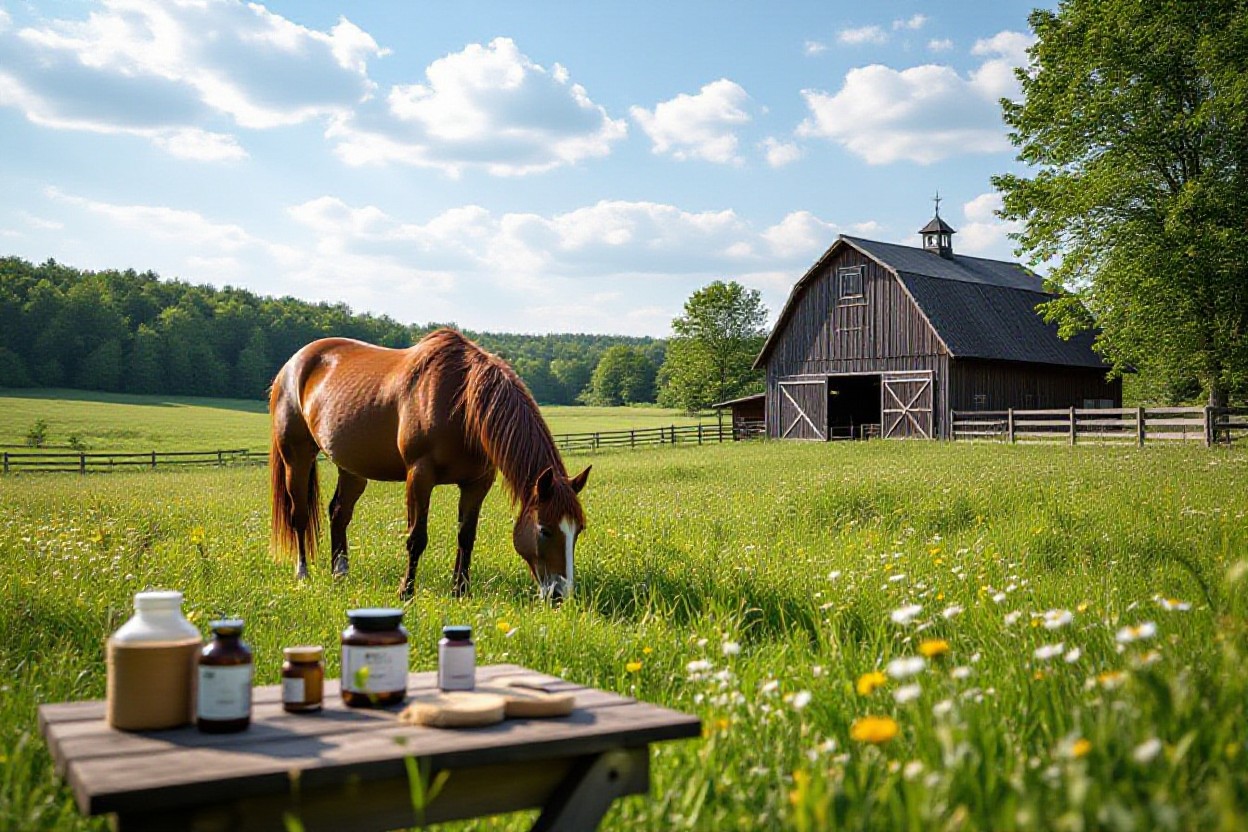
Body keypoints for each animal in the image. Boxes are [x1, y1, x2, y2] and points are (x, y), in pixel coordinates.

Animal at [268, 328, 590, 603]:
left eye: (579, 530)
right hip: (296, 457)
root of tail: (292, 365)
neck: (462, 404)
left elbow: (466, 536)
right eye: (544, 530)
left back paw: (340, 573)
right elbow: (417, 538)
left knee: (339, 513)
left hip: (352, 467)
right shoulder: (420, 476)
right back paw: (303, 573)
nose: (561, 595)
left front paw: (460, 590)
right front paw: (406, 592)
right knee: (299, 515)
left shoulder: (478, 483)